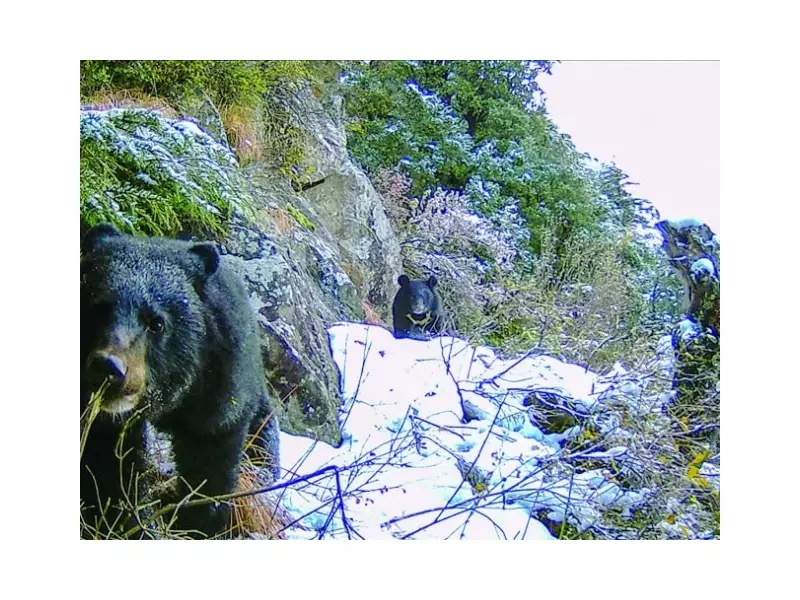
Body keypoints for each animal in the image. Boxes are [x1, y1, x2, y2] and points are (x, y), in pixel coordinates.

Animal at [80, 223, 280, 539]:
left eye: (157, 323)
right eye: (98, 309)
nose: (109, 367)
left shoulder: (217, 386)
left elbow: (210, 464)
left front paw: (198, 524)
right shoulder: (103, 421)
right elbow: (107, 469)